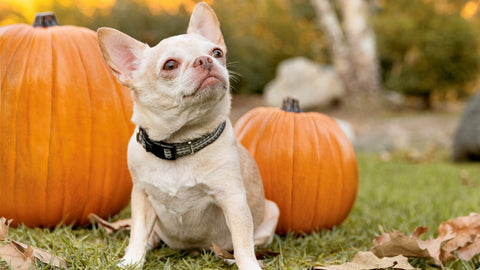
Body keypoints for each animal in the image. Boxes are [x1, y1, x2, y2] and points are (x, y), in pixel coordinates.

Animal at [96, 2, 278, 270]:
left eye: (217, 53)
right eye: (170, 65)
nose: (205, 60)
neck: (180, 141)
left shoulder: (232, 200)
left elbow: (242, 240)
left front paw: (248, 265)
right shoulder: (142, 198)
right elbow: (138, 232)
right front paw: (132, 260)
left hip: (271, 212)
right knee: (149, 235)